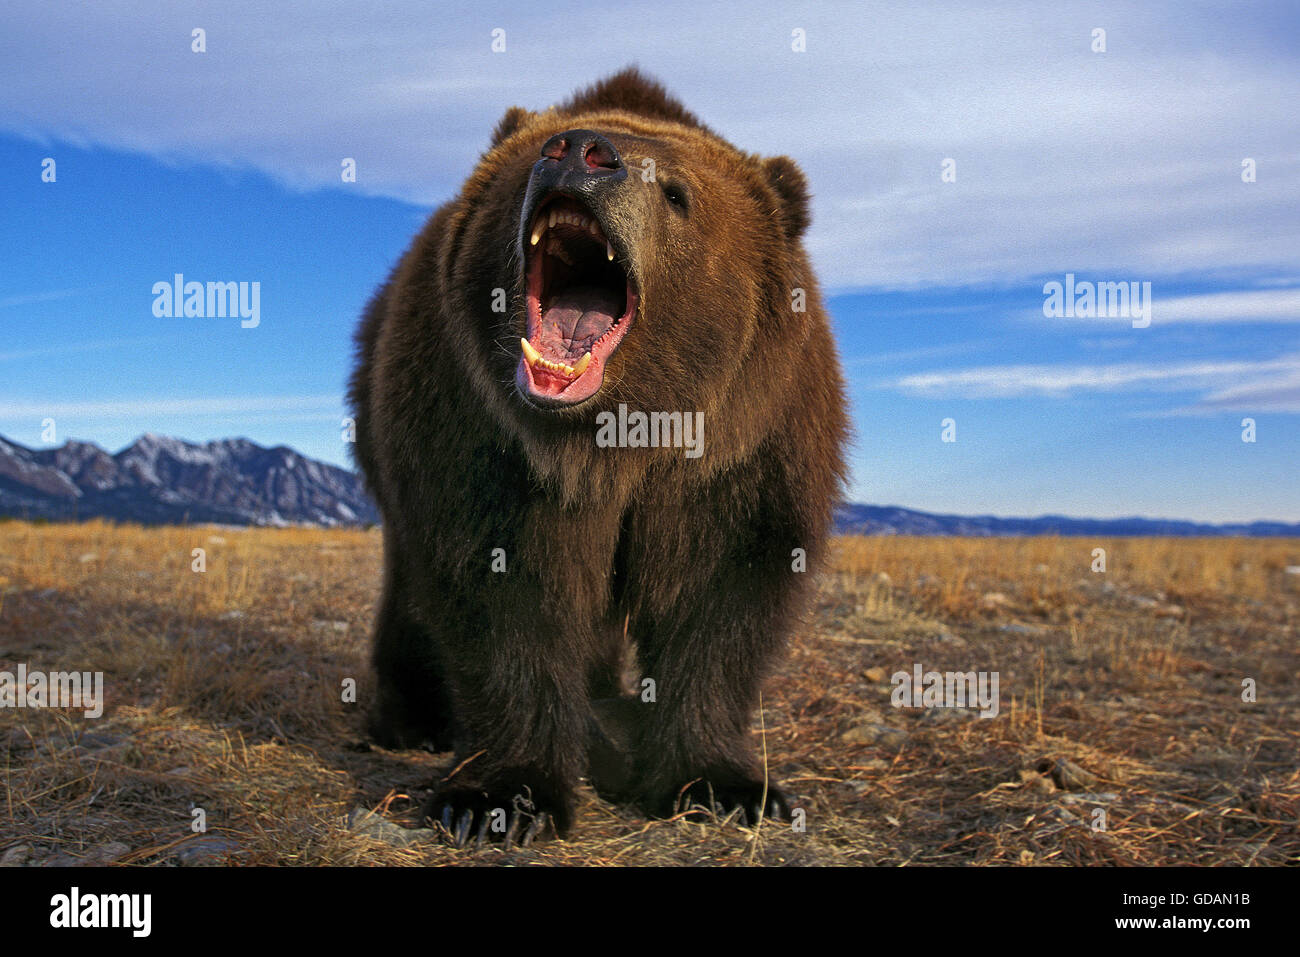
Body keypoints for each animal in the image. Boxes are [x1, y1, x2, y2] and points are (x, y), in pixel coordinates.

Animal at [351, 69, 847, 842]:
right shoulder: (485, 438)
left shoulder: (741, 448)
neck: (612, 441)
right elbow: (504, 590)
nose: (580, 152)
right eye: (537, 157)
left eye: (675, 192)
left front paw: (724, 785)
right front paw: (500, 797)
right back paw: (413, 718)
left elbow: (721, 593)